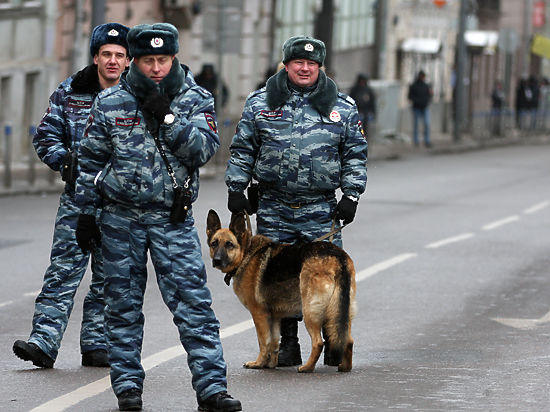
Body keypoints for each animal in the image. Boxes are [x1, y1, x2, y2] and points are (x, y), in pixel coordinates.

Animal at [206, 209, 356, 373]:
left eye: (229, 245)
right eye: (214, 243)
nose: (217, 260)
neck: (246, 253)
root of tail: (338, 257)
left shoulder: (259, 314)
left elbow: (263, 342)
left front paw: (258, 363)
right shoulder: (274, 317)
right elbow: (274, 342)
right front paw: (270, 364)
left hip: (310, 311)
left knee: (318, 342)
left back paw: (307, 367)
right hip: (341, 313)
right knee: (348, 340)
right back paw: (345, 367)